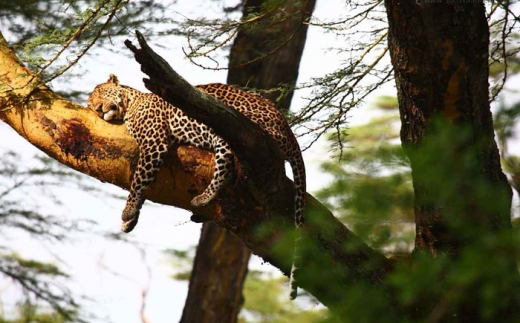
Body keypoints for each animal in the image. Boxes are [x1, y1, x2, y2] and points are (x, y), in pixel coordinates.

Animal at [87, 74, 306, 300]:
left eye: (101, 93)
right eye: (91, 106)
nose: (98, 109)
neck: (132, 104)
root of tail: (288, 131)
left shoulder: (153, 143)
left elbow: (139, 179)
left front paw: (127, 211)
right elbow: (145, 184)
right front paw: (130, 221)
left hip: (227, 127)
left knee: (227, 163)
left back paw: (203, 199)